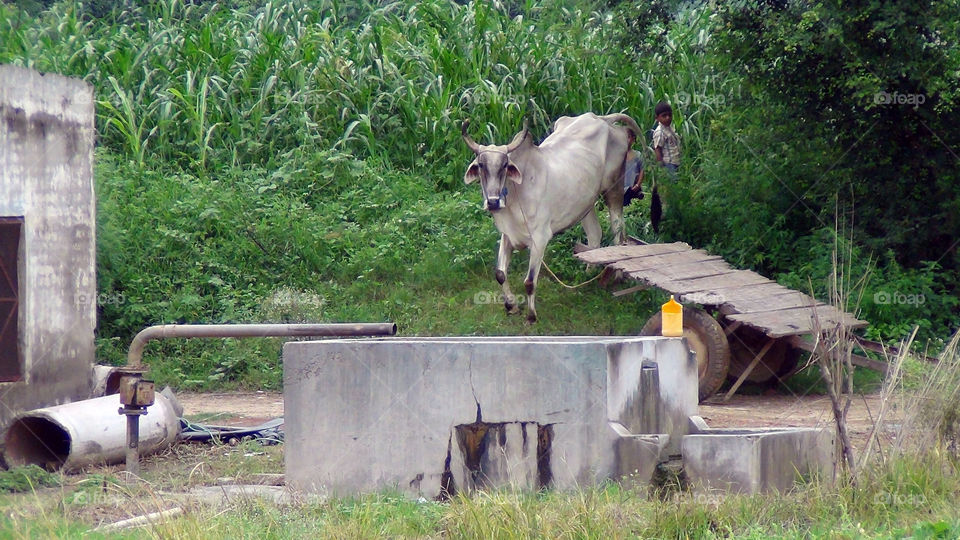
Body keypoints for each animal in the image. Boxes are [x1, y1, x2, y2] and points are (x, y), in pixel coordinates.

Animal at [462, 112, 641, 322]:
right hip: (585, 202)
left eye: (505, 165)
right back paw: (588, 273)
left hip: (614, 190)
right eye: (481, 165)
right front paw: (511, 306)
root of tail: (602, 118)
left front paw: (531, 316)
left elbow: (529, 282)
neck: (516, 194)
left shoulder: (540, 238)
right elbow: (500, 274)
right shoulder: (508, 236)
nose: (492, 202)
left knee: (618, 231)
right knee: (595, 234)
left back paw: (616, 276)